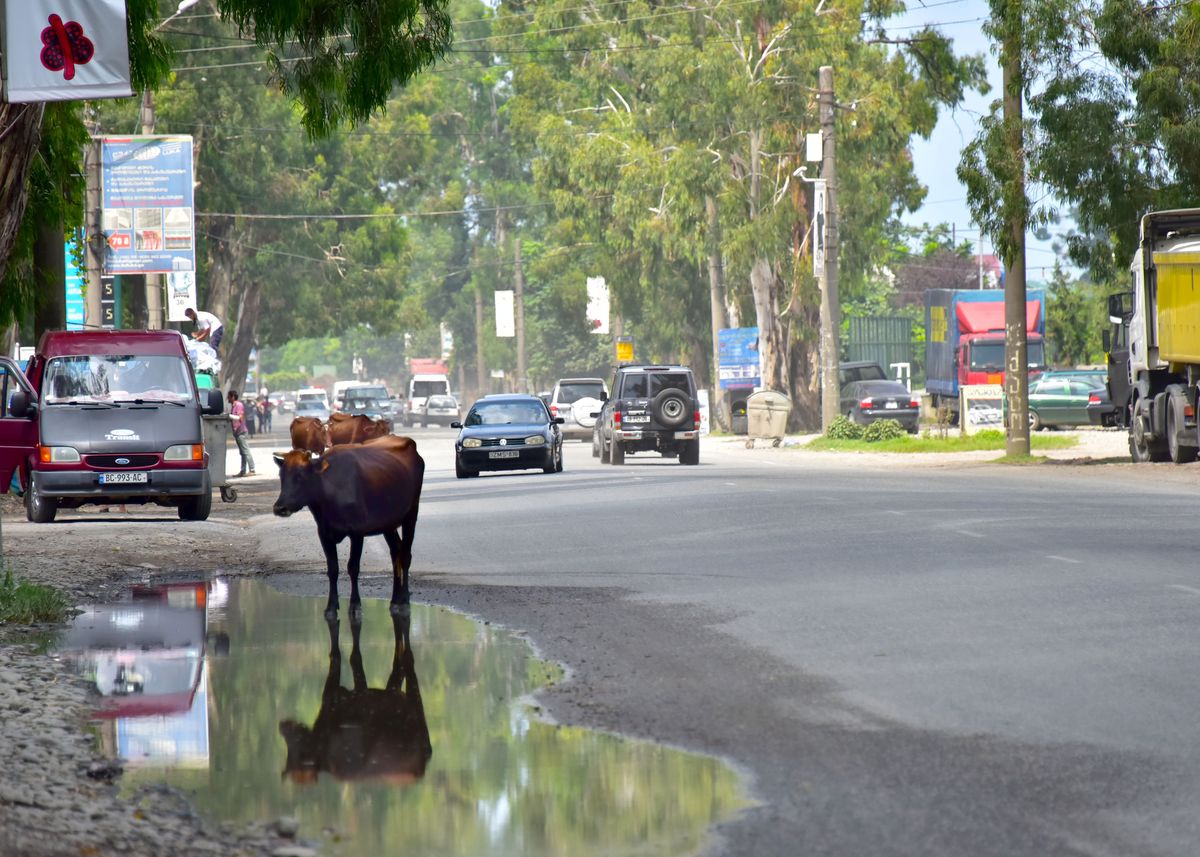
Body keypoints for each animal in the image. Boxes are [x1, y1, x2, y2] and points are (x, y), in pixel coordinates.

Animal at [274, 434, 424, 614]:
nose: (280, 507)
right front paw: (331, 606)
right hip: (389, 523)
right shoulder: (324, 534)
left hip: (411, 513)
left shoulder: (357, 532)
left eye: (300, 476)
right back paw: (395, 599)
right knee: (396, 552)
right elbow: (332, 569)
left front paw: (355, 604)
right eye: (281, 476)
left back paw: (405, 600)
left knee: (406, 555)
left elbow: (353, 567)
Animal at [280, 609, 432, 782]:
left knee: (408, 658)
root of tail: (425, 760)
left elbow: (348, 656)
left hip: (415, 708)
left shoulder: (343, 696)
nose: (281, 726)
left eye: (298, 753)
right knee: (397, 665)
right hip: (396, 697)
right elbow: (343, 656)